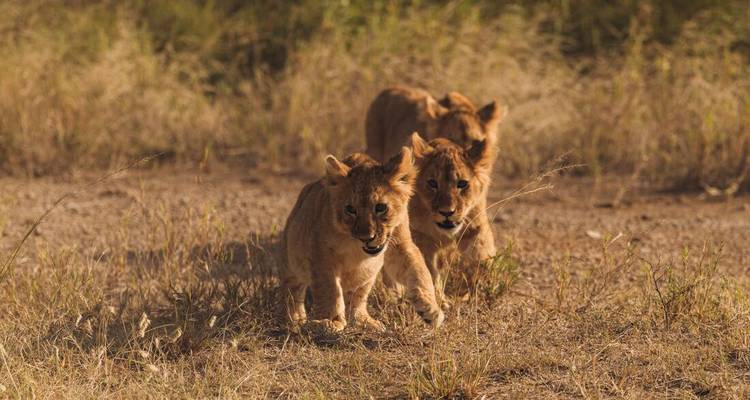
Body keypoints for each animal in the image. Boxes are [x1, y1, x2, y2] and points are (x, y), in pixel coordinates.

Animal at [279, 147, 444, 332]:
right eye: (350, 209)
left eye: (381, 207)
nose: (367, 238)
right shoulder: (320, 253)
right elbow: (329, 289)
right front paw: (331, 321)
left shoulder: (400, 244)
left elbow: (419, 272)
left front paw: (432, 310)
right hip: (291, 260)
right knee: (292, 290)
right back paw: (294, 319)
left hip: (366, 277)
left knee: (357, 299)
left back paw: (365, 321)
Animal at [383, 133, 497, 304]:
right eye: (432, 183)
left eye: (462, 184)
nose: (447, 212)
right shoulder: (420, 236)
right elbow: (428, 269)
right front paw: (440, 299)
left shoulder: (475, 224)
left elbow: (480, 254)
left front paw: (477, 286)